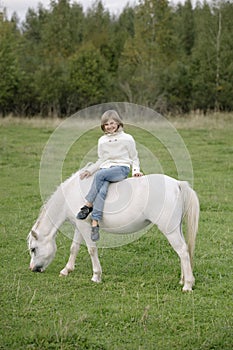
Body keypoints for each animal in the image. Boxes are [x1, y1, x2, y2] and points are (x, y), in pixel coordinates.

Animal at [26, 171, 198, 292]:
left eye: (33, 249)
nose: (33, 269)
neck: (71, 193)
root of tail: (177, 184)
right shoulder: (79, 226)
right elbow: (74, 248)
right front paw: (66, 270)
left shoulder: (84, 227)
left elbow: (91, 250)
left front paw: (96, 275)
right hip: (176, 228)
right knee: (184, 251)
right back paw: (183, 279)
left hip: (170, 231)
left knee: (182, 251)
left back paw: (188, 285)